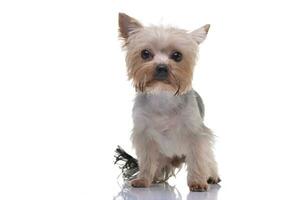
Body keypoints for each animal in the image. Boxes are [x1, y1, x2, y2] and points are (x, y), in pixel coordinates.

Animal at [118, 12, 220, 192]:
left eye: (177, 55)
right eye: (145, 53)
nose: (161, 67)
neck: (163, 94)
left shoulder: (196, 135)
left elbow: (198, 158)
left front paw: (197, 182)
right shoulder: (144, 136)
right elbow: (146, 160)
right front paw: (143, 179)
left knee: (208, 159)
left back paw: (212, 176)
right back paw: (155, 177)